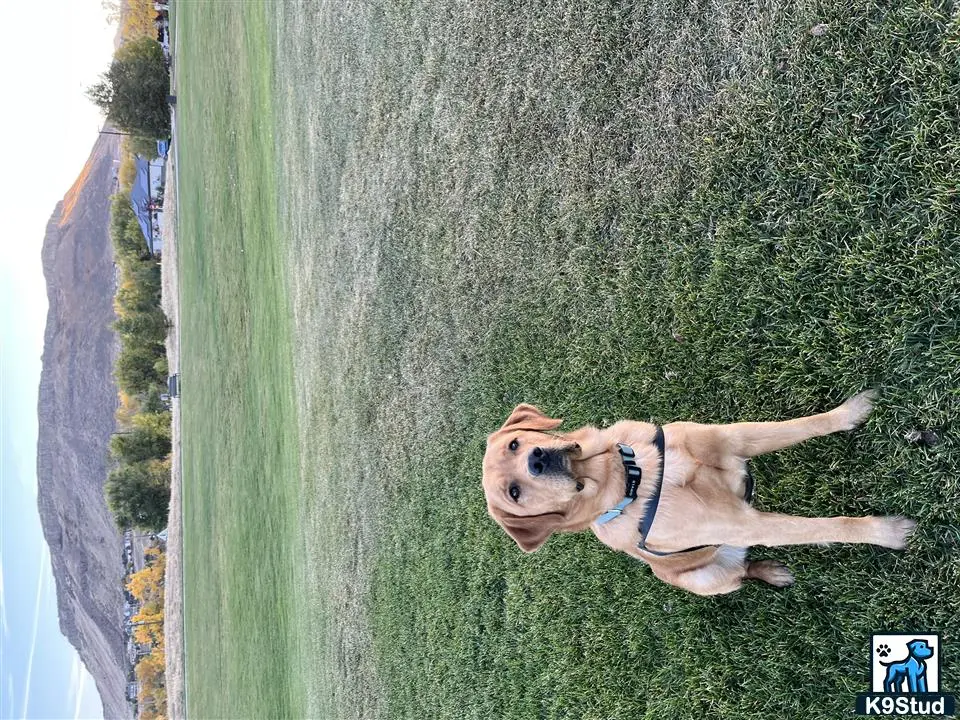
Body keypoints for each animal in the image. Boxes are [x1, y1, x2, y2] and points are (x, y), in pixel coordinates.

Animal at [484, 394, 920, 596]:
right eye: (515, 493)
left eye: (516, 444)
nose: (537, 460)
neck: (633, 476)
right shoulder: (744, 524)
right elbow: (827, 527)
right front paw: (887, 532)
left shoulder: (734, 438)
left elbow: (800, 425)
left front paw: (849, 412)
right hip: (705, 577)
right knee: (740, 573)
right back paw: (768, 572)